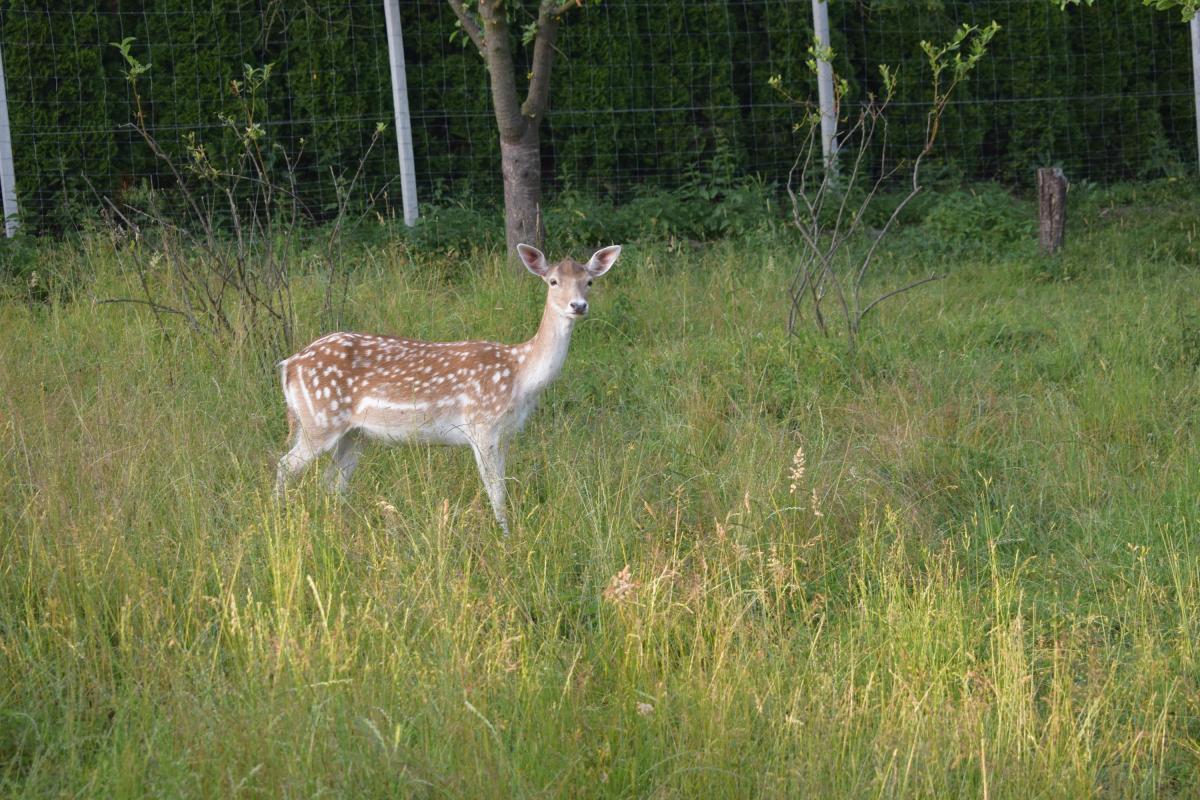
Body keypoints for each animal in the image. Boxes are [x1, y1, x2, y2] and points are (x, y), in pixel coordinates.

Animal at [274, 243, 622, 534]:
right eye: (552, 281)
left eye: (589, 281)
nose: (578, 306)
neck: (520, 376)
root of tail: (289, 365)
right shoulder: (481, 424)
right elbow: (495, 489)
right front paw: (506, 538)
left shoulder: (506, 433)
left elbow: (502, 483)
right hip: (319, 420)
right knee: (285, 466)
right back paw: (281, 521)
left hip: (355, 434)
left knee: (331, 482)